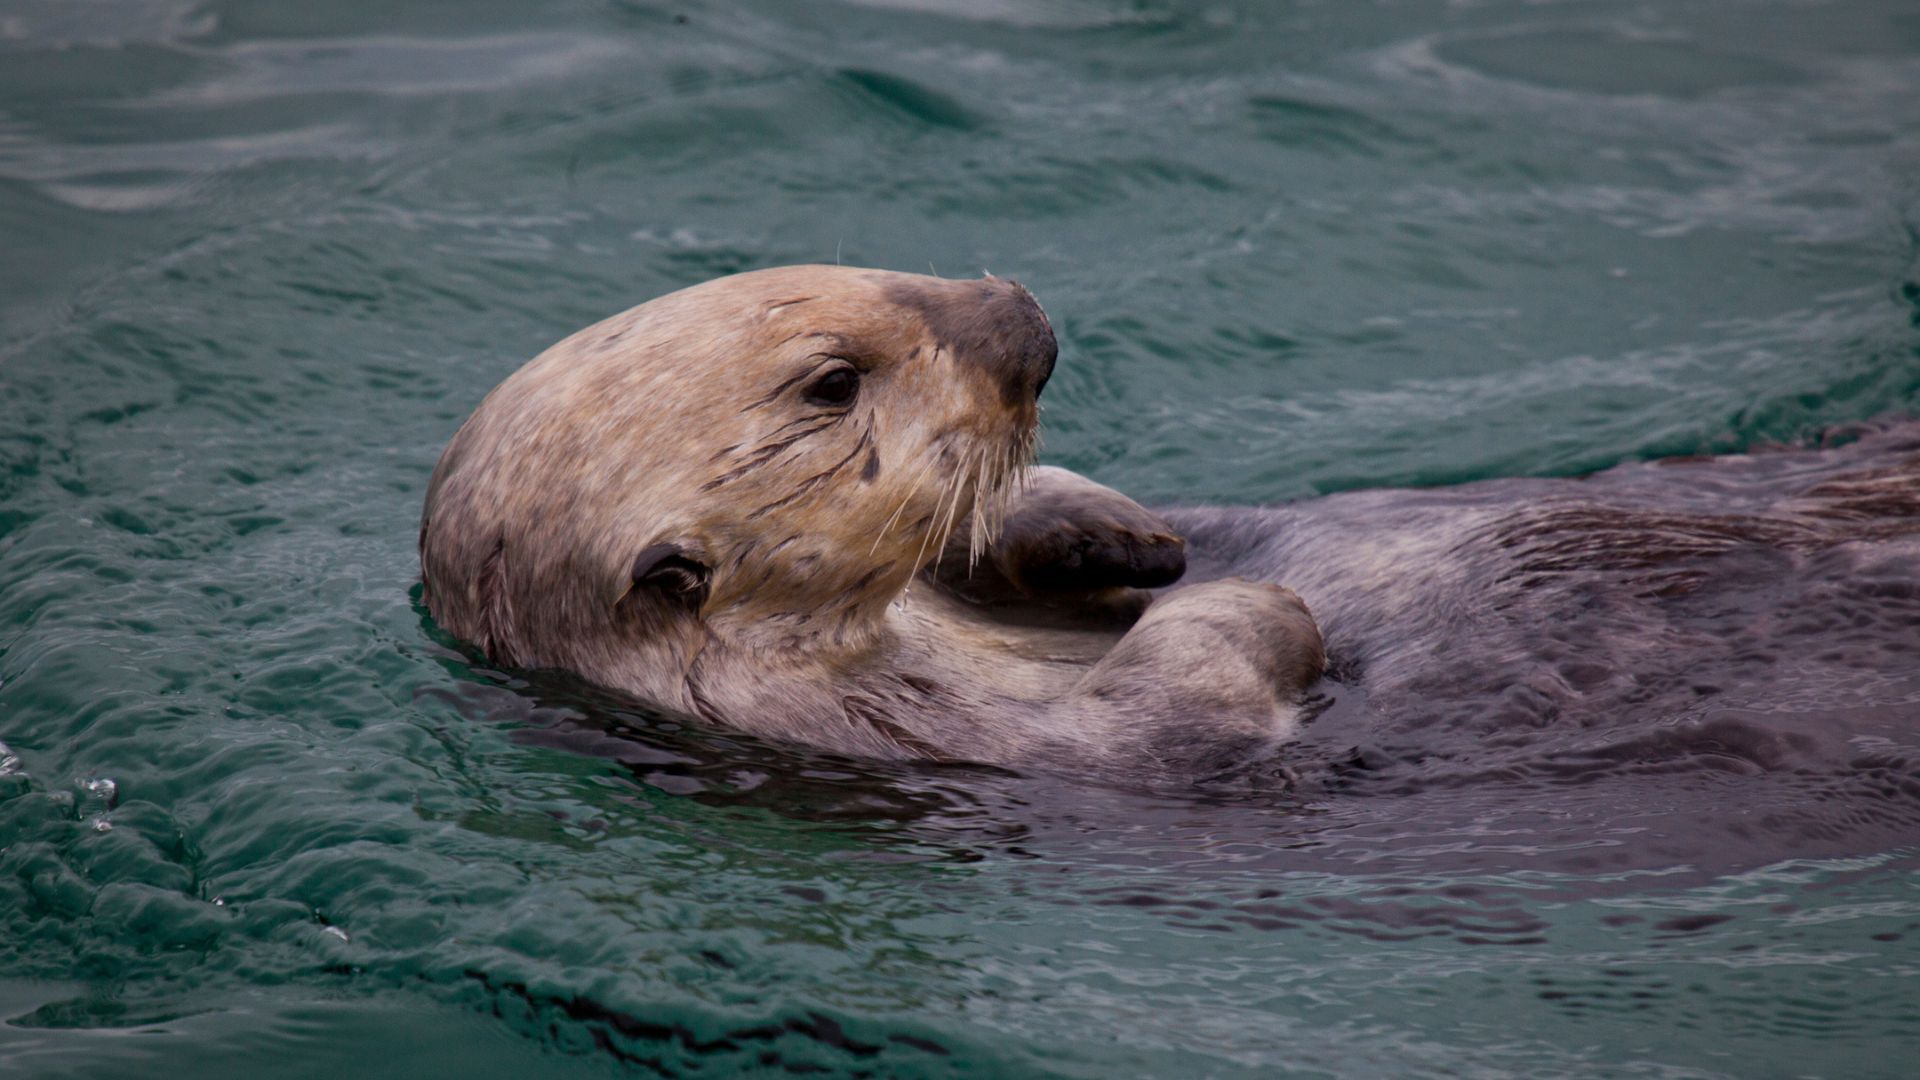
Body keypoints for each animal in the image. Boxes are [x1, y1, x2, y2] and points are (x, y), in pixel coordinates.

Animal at [421, 265, 1920, 784]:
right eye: (833, 383)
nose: (1018, 314)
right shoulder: (908, 739)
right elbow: (1178, 710)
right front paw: (1255, 607)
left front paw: (1124, 538)